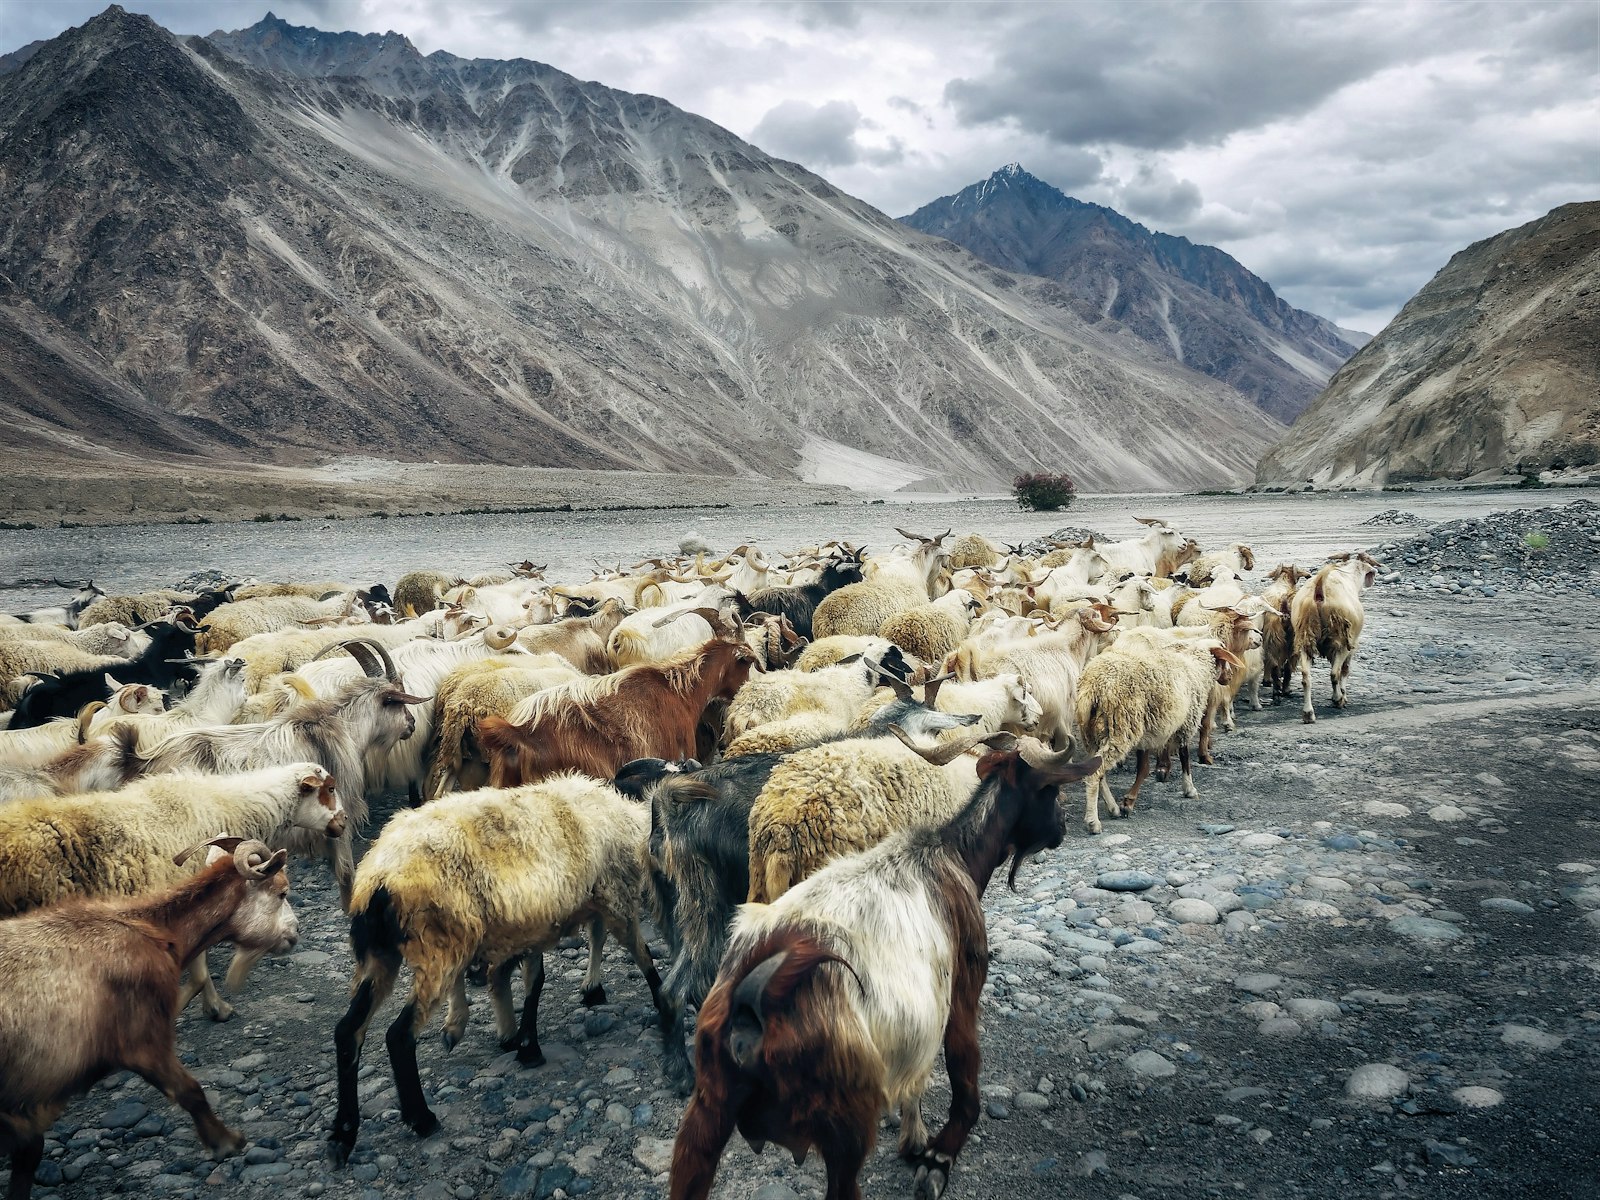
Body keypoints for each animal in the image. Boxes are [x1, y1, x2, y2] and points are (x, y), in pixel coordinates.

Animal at [0, 844, 297, 1200]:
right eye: (282, 892)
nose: (296, 933)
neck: (150, 928)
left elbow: (27, 1158)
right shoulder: (143, 1040)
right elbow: (190, 1091)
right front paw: (225, 1142)